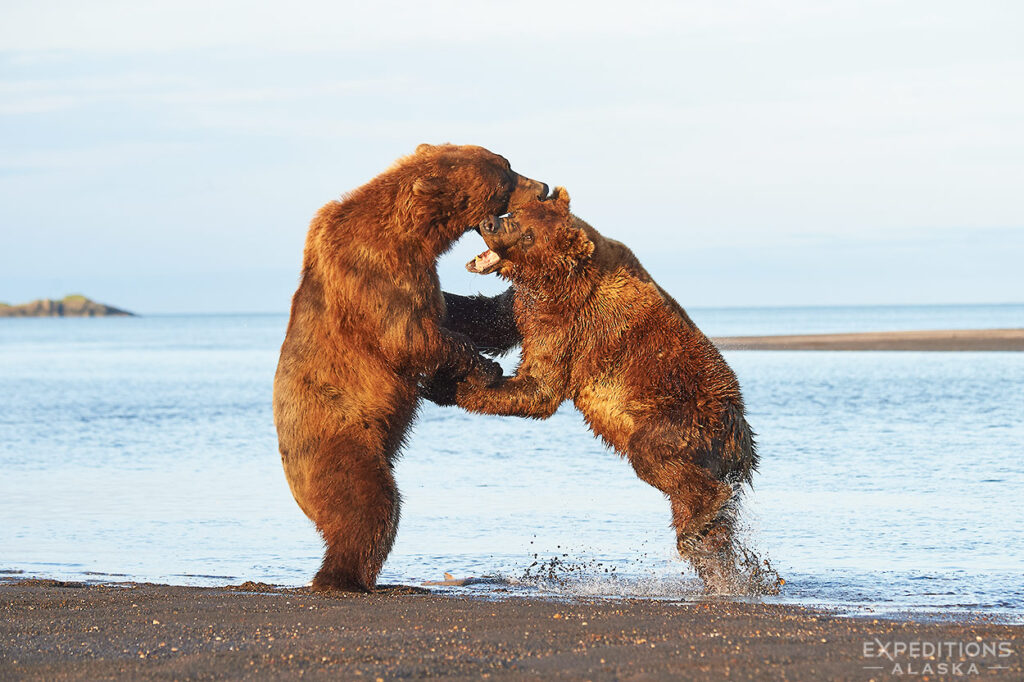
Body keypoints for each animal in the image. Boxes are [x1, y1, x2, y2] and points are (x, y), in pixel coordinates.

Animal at [270, 142, 544, 589]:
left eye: (507, 163)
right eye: (506, 174)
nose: (543, 187)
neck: (416, 232)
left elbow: (451, 312)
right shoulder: (373, 269)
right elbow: (409, 335)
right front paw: (485, 367)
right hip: (341, 439)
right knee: (370, 504)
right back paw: (343, 577)